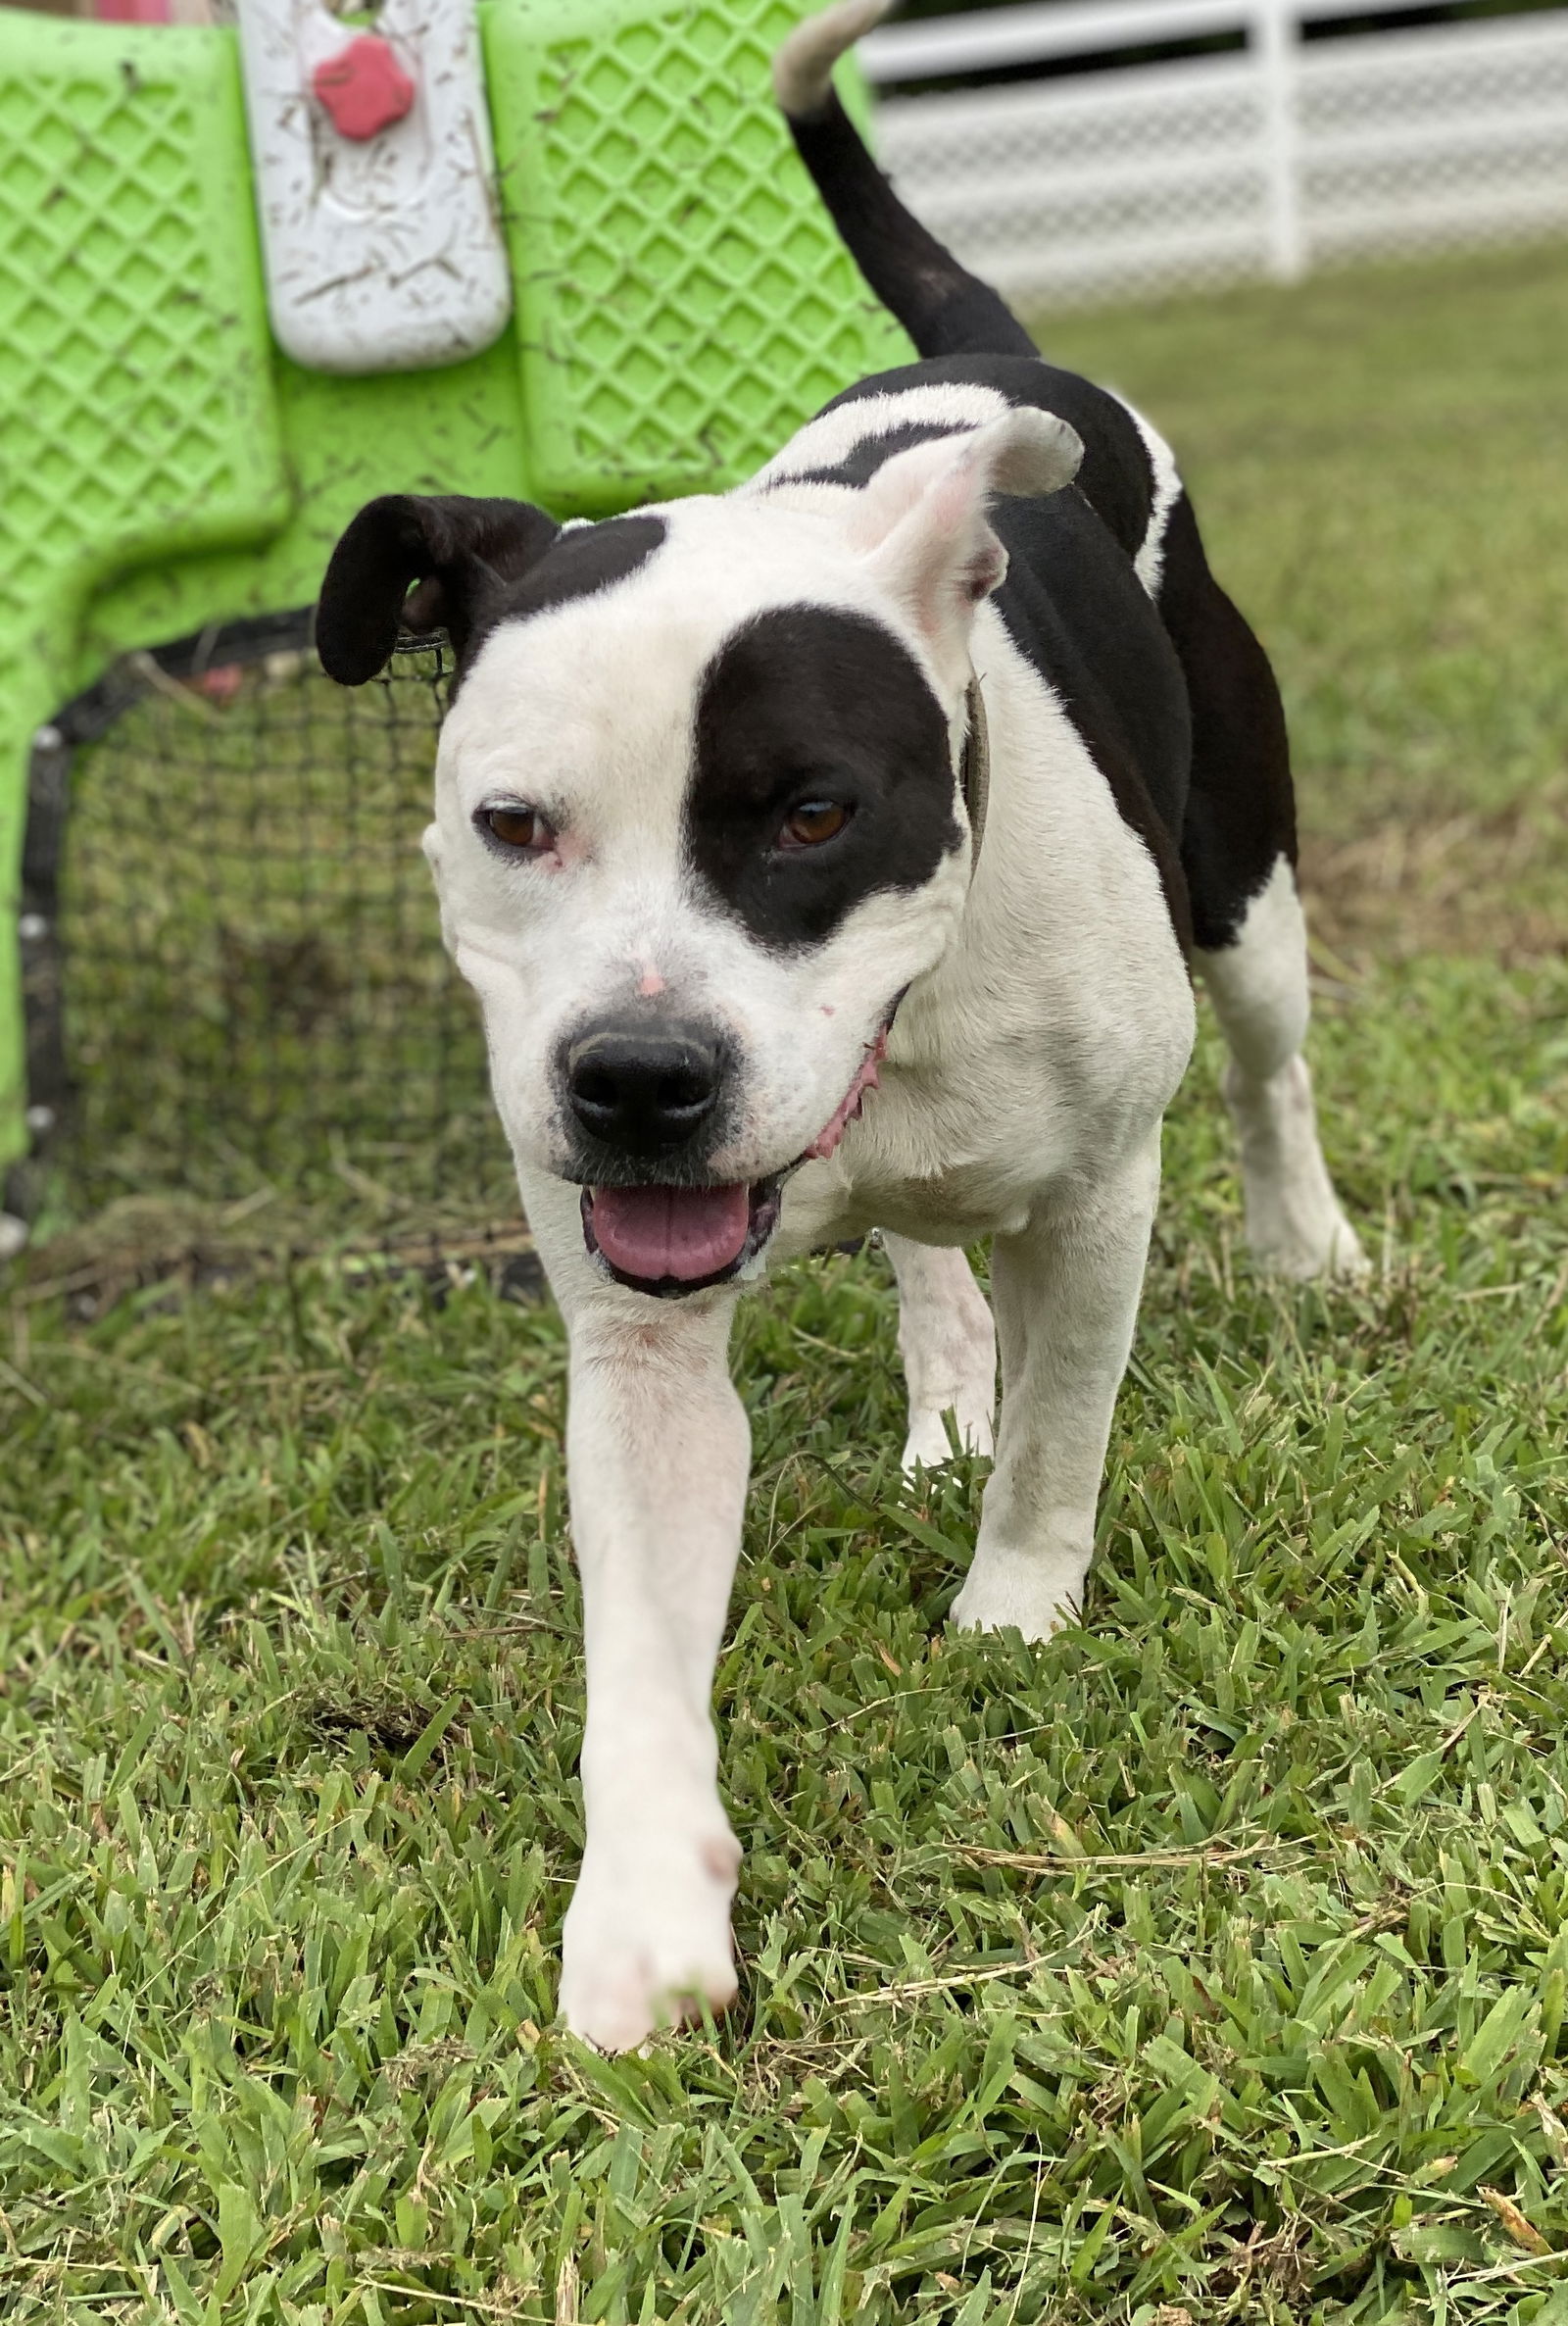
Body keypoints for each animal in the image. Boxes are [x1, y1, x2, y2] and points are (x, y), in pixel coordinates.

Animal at [314, 0, 1358, 2047]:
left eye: (812, 811)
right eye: (514, 823)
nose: (635, 1079)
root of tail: (986, 351)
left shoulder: (1100, 1196)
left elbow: (1064, 1437)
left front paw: (1014, 1608)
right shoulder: (639, 1333)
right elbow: (641, 1642)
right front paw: (644, 1905)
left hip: (1247, 890)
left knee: (1272, 1071)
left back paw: (1310, 1251)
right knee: (922, 1255)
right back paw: (943, 1382)